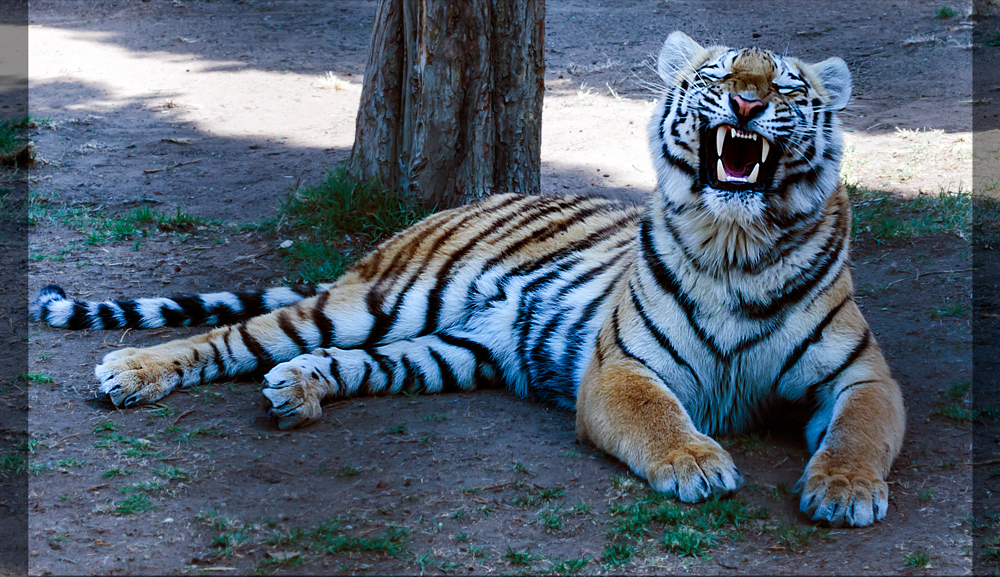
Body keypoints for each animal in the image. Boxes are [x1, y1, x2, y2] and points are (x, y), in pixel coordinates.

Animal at [31, 31, 908, 528]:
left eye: (786, 84)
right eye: (720, 75)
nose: (747, 103)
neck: (737, 241)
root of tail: (455, 204)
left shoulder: (863, 374)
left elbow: (860, 429)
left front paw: (844, 490)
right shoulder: (620, 368)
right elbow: (659, 415)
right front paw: (696, 463)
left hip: (448, 347)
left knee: (346, 363)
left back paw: (295, 390)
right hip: (369, 302)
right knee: (232, 334)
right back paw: (131, 372)